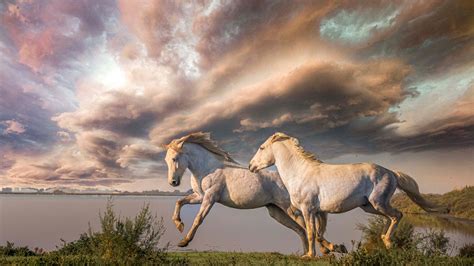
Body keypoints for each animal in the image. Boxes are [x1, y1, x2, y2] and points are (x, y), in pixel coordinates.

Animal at [163, 132, 318, 252]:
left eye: (174, 158)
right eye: (166, 160)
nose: (173, 182)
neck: (207, 168)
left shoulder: (210, 197)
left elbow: (198, 219)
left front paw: (184, 241)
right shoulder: (199, 196)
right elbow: (180, 201)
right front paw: (179, 224)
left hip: (290, 208)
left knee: (307, 227)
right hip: (277, 212)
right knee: (300, 230)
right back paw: (306, 254)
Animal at [250, 133, 450, 258]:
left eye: (261, 148)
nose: (251, 166)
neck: (300, 173)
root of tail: (391, 172)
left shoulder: (308, 209)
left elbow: (311, 233)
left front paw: (310, 255)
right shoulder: (319, 212)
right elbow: (318, 233)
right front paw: (335, 248)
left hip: (379, 202)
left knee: (397, 215)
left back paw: (388, 242)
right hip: (369, 206)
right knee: (389, 217)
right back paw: (383, 240)